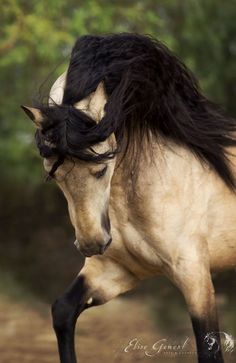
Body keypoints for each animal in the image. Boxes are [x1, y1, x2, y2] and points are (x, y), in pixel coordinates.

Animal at [20, 34, 236, 363]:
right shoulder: (117, 269)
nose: (92, 245)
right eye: (52, 175)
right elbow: (63, 311)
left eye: (101, 168)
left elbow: (208, 348)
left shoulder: (195, 275)